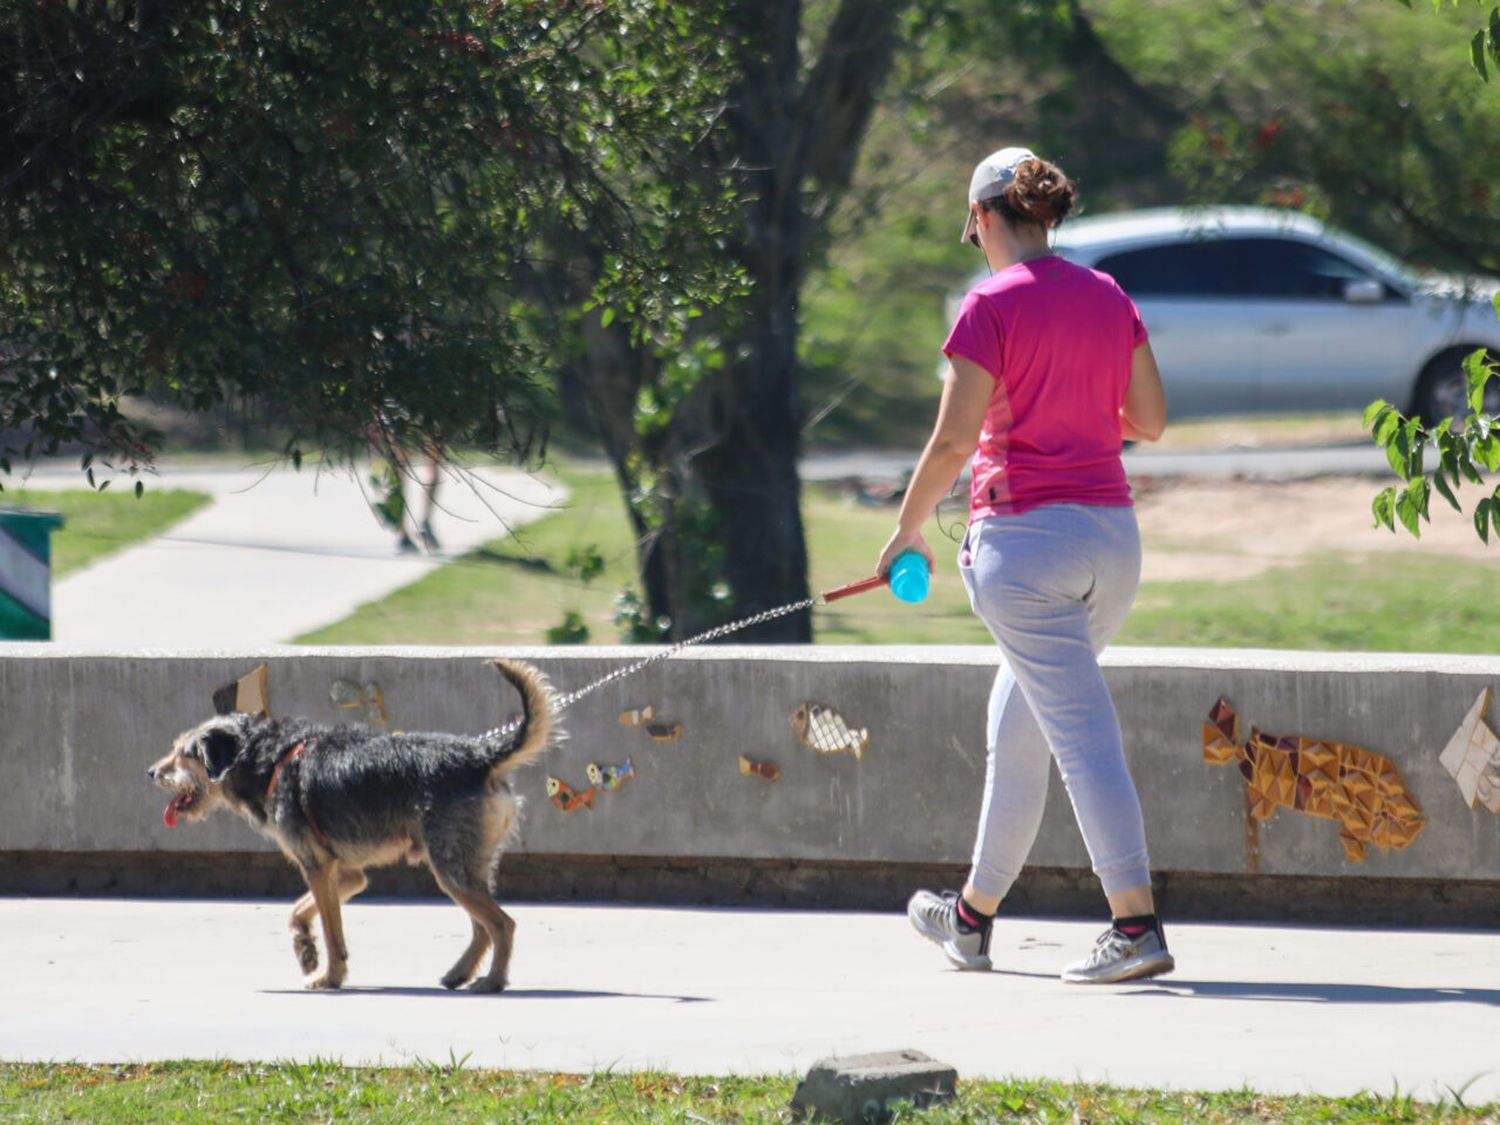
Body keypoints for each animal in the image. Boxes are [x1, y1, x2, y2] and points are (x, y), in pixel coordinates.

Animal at [147, 657, 558, 990]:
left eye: (185, 754)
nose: (152, 772)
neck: (269, 757)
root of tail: (481, 755)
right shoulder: (344, 874)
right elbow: (300, 909)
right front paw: (305, 948)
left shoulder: (316, 867)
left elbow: (333, 932)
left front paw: (329, 976)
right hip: (468, 865)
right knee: (482, 928)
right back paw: (460, 973)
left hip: (451, 868)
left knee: (502, 924)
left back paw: (493, 981)